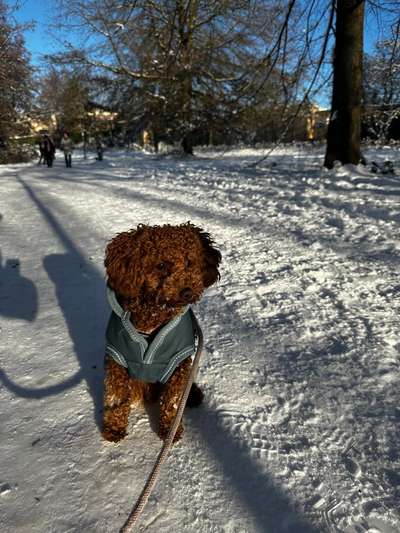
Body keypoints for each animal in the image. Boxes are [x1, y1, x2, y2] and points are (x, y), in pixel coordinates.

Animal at [102, 222, 222, 442]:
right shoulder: (117, 360)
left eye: (190, 262)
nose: (187, 291)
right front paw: (114, 428)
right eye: (161, 266)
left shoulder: (179, 365)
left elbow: (173, 402)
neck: (154, 315)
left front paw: (169, 431)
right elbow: (115, 397)